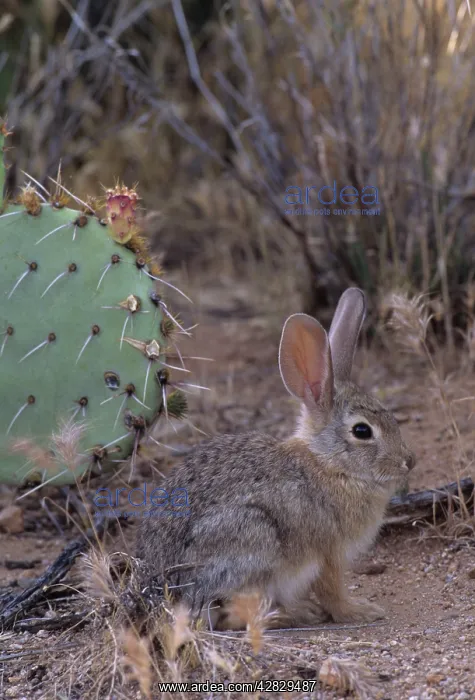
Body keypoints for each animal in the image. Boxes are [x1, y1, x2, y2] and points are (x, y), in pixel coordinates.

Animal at [136, 288, 415, 629]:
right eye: (362, 431)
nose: (408, 461)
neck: (328, 464)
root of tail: (163, 596)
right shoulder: (327, 554)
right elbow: (332, 590)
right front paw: (360, 611)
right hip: (254, 539)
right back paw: (297, 613)